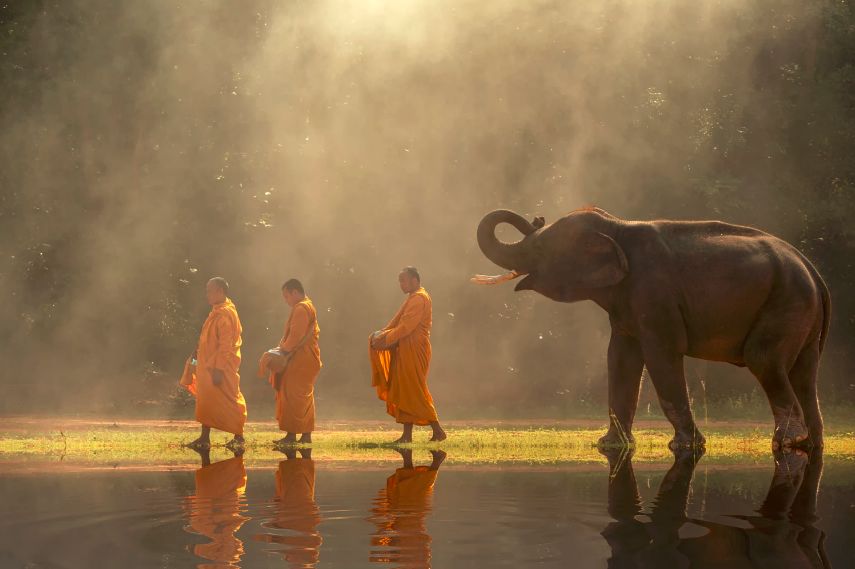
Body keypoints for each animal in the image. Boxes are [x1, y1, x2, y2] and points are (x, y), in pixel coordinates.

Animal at [474, 206, 828, 450]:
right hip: (803, 314)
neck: (616, 226)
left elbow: (661, 356)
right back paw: (810, 443)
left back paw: (788, 442)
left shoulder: (654, 295)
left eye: (540, 250)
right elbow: (620, 359)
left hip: (787, 302)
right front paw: (611, 445)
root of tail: (810, 266)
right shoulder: (625, 306)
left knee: (763, 359)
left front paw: (685, 446)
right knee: (803, 373)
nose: (536, 217)